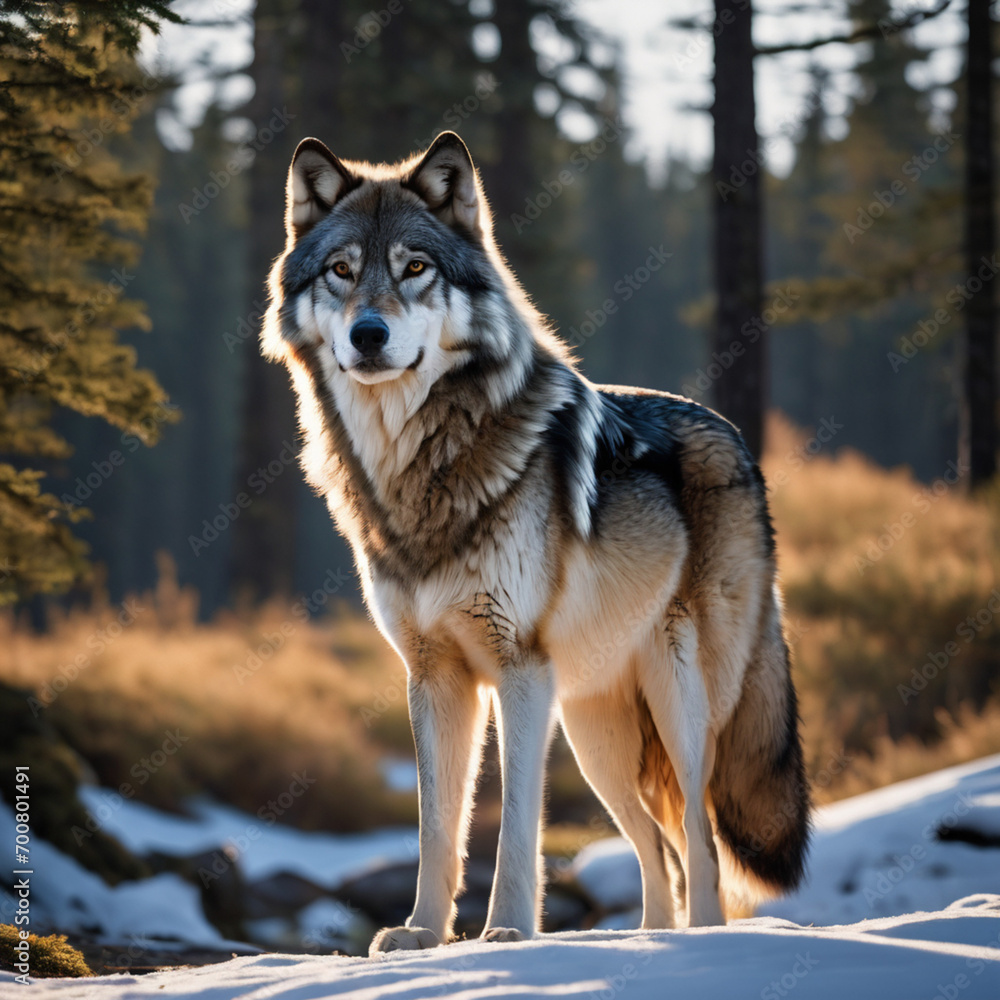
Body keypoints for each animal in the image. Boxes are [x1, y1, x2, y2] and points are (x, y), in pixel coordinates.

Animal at [262, 131, 810, 953]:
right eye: (342, 272)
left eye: (414, 269)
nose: (368, 335)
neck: (421, 471)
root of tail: (738, 439)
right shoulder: (434, 677)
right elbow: (435, 827)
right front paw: (421, 934)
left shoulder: (519, 670)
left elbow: (518, 824)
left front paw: (509, 932)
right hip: (594, 734)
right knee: (658, 848)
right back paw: (645, 940)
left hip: (676, 703)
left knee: (702, 841)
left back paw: (698, 942)